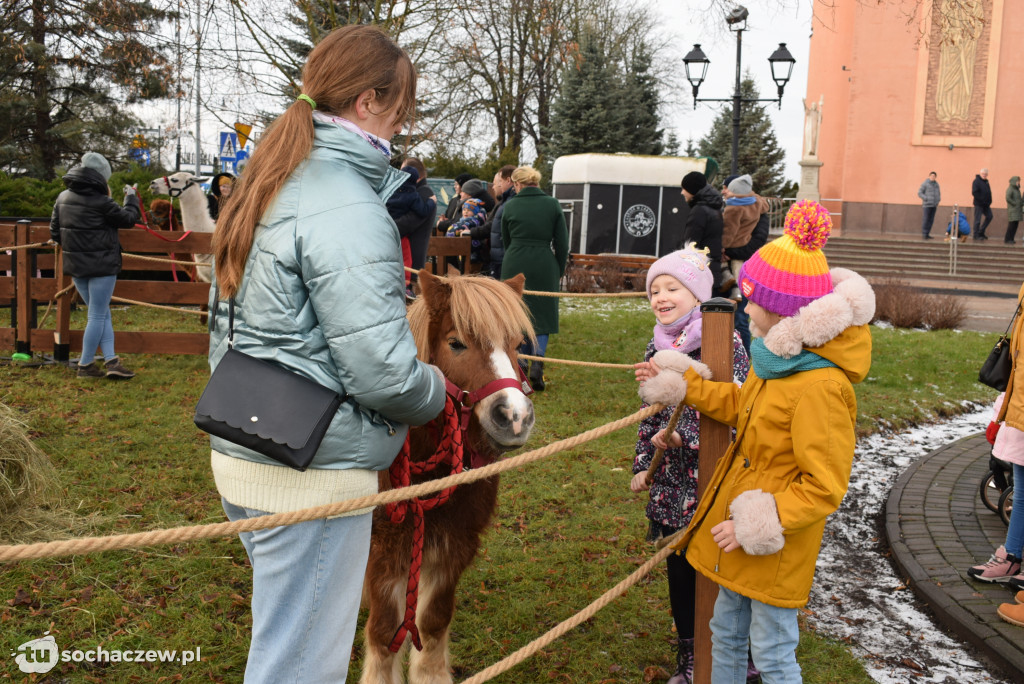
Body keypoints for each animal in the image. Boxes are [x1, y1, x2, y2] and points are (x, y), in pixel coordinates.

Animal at [360, 270, 536, 684]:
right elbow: (384, 631)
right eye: (456, 343)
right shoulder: (384, 549)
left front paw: (430, 673)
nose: (515, 417)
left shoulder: (455, 544)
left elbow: (433, 621)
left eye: (516, 344)